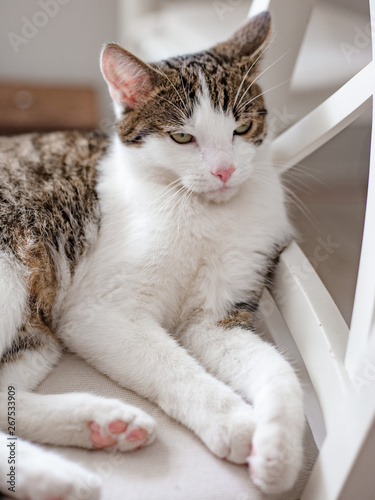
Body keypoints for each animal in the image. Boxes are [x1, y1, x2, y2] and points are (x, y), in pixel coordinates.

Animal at [0, 11, 306, 500]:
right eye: (182, 137)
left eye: (242, 128)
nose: (225, 171)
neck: (204, 211)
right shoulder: (99, 310)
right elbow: (173, 365)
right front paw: (234, 421)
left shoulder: (217, 317)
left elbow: (277, 369)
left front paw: (278, 452)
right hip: (14, 270)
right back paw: (62, 474)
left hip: (35, 333)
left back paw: (98, 427)